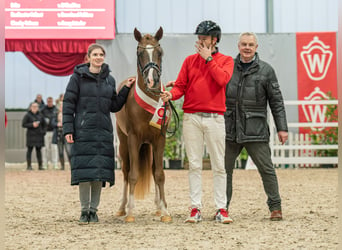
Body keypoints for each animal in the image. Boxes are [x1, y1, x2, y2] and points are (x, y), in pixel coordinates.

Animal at [116, 27, 172, 223]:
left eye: (160, 52)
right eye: (139, 53)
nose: (152, 80)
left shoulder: (160, 140)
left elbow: (160, 175)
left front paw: (165, 211)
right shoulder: (133, 139)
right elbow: (133, 175)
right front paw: (131, 213)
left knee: (154, 170)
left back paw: (158, 207)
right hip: (123, 142)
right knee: (126, 172)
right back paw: (122, 208)